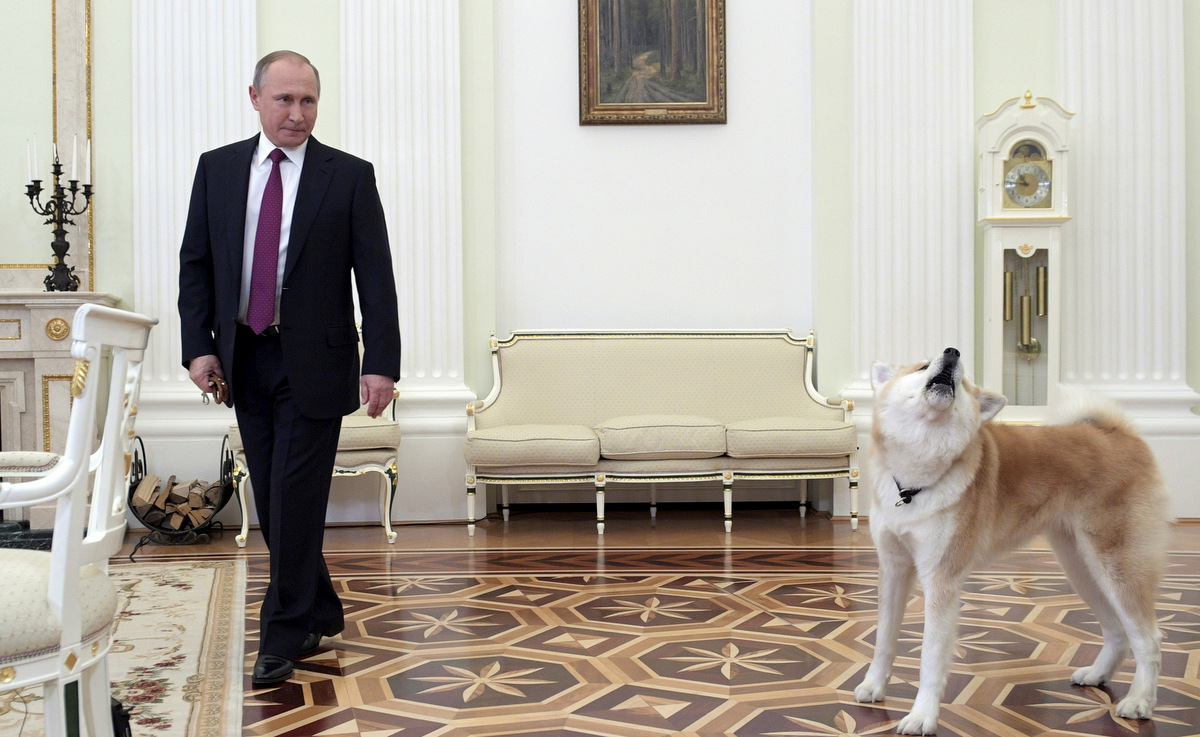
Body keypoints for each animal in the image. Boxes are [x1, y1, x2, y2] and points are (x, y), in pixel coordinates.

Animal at [859, 350, 1166, 734]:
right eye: (922, 366)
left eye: (963, 381)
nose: (952, 353)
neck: (915, 482)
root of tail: (1118, 433)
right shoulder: (894, 568)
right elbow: (884, 638)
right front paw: (874, 685)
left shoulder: (940, 579)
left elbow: (930, 657)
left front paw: (921, 716)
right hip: (1082, 568)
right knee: (1116, 630)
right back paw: (1097, 674)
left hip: (1116, 565)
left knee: (1148, 639)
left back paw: (1140, 701)